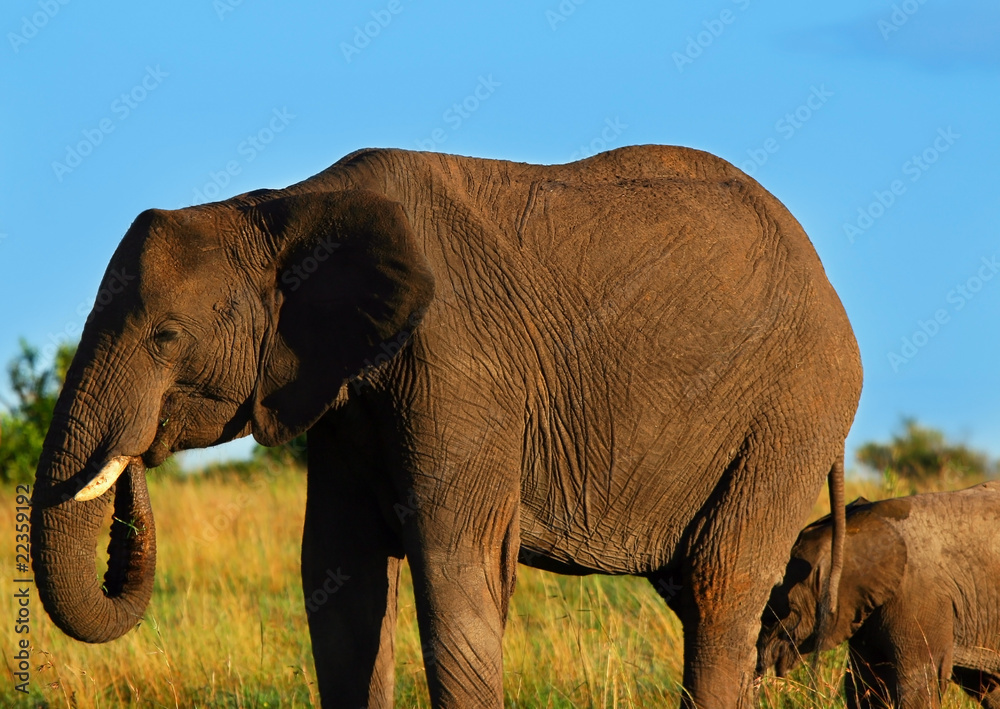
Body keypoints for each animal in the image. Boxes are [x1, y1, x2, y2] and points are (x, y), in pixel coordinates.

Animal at [31, 145, 861, 708]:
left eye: (167, 337)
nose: (137, 455)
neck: (287, 207)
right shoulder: (343, 384)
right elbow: (340, 571)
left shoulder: (461, 365)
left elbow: (453, 563)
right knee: (697, 594)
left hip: (793, 410)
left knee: (723, 584)